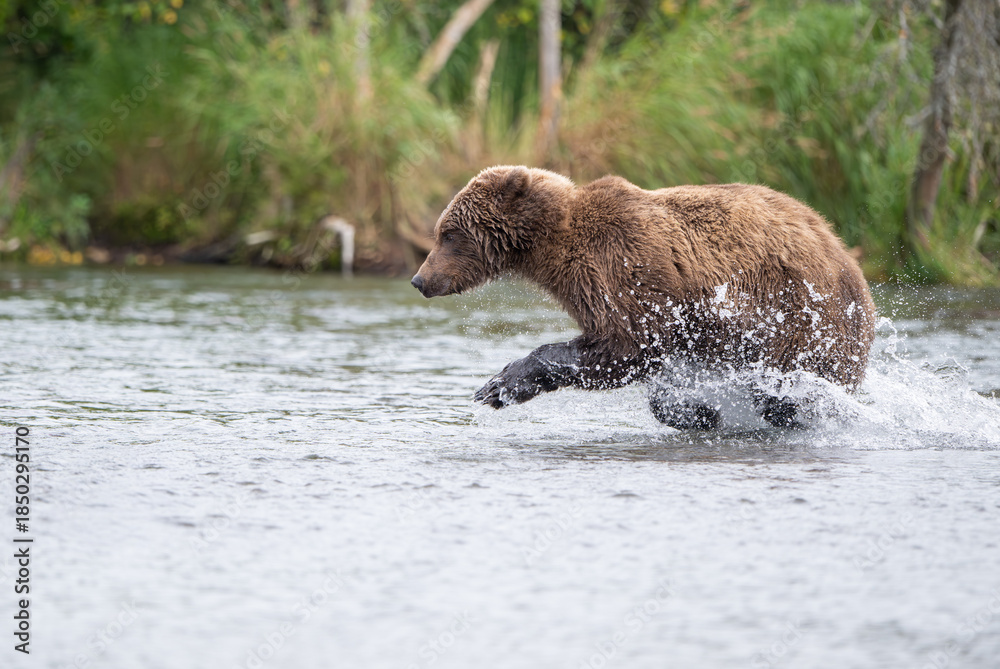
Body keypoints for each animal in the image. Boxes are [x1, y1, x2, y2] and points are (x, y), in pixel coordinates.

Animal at [410, 165, 876, 428]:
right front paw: (696, 410)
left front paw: (499, 385)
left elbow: (627, 343)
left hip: (802, 316)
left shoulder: (623, 269)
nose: (419, 279)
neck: (552, 247)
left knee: (794, 383)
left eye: (448, 233)